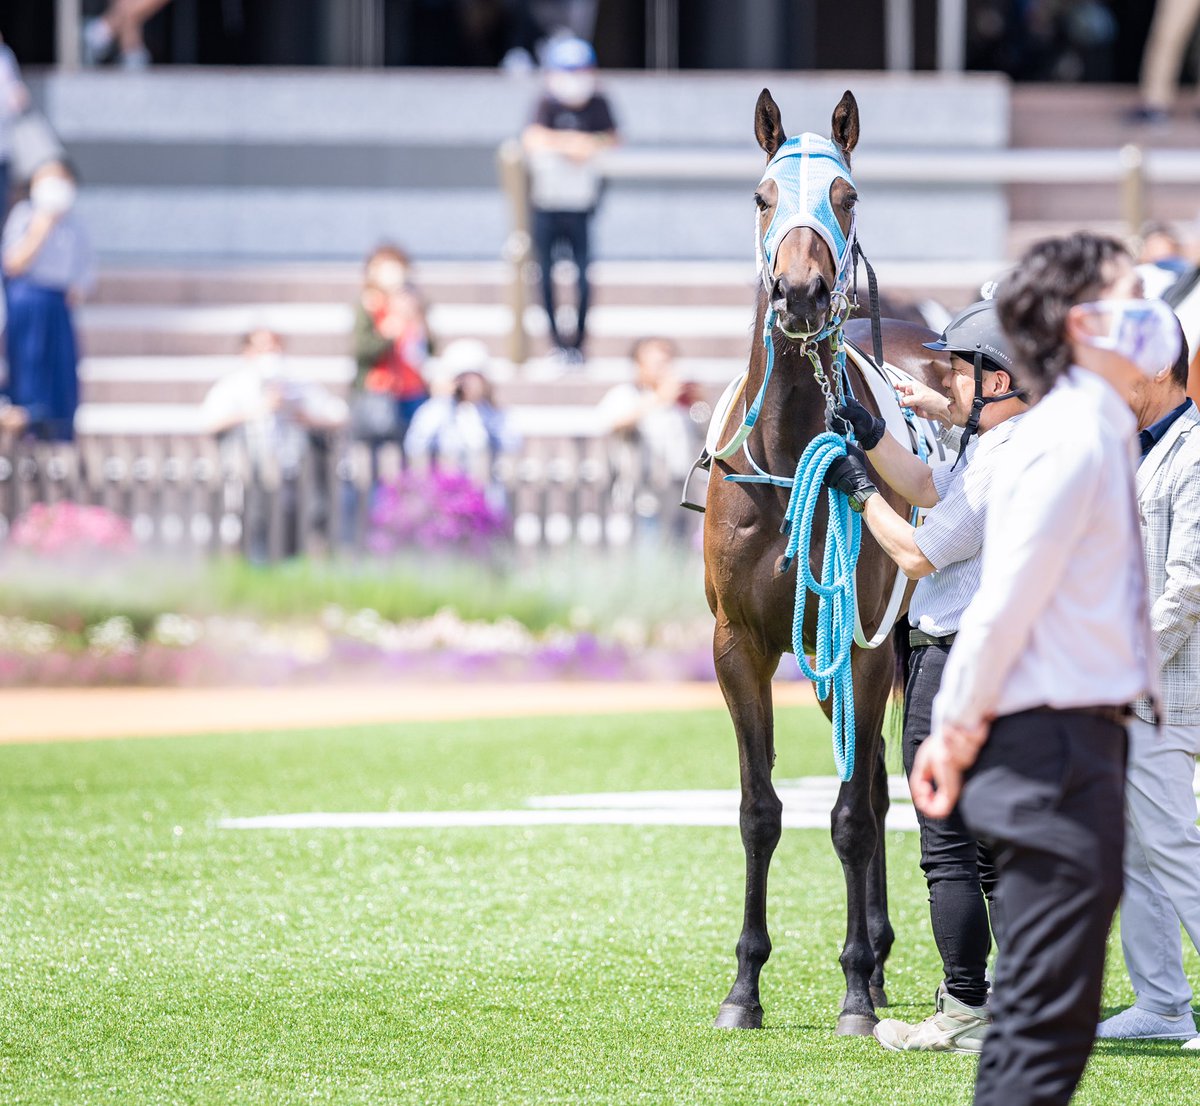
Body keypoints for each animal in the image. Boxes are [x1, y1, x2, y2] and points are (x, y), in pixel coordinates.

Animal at [700, 90, 945, 1031]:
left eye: (846, 197)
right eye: (763, 195)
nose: (800, 292)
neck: (789, 451)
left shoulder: (865, 642)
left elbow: (848, 816)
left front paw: (852, 992)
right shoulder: (740, 643)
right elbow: (759, 810)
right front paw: (744, 988)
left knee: (873, 793)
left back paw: (879, 971)